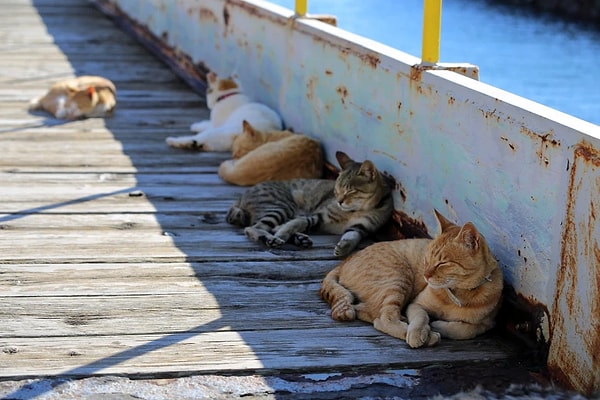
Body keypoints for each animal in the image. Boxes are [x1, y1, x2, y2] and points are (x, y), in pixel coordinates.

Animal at [225, 150, 394, 256]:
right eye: (336, 190)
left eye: (350, 191)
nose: (339, 202)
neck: (356, 211)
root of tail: (242, 196)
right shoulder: (317, 216)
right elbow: (297, 223)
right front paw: (283, 234)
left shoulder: (361, 228)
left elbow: (352, 237)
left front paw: (344, 247)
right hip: (281, 206)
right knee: (254, 228)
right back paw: (272, 239)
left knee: (269, 226)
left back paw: (300, 239)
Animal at [318, 211, 502, 348]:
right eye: (427, 259)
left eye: (442, 263)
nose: (426, 275)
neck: (458, 294)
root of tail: (345, 261)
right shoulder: (416, 304)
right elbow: (421, 317)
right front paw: (420, 331)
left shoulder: (487, 324)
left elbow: (466, 330)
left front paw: (439, 325)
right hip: (398, 279)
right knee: (382, 319)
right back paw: (427, 336)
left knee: (366, 310)